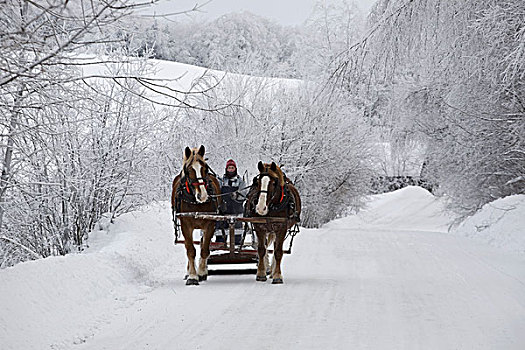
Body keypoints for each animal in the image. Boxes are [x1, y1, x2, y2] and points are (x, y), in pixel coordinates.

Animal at [171, 145, 220, 284]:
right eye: (188, 170)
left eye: (205, 168)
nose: (202, 196)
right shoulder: (186, 225)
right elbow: (190, 250)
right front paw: (192, 276)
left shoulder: (210, 224)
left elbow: (205, 249)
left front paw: (202, 272)